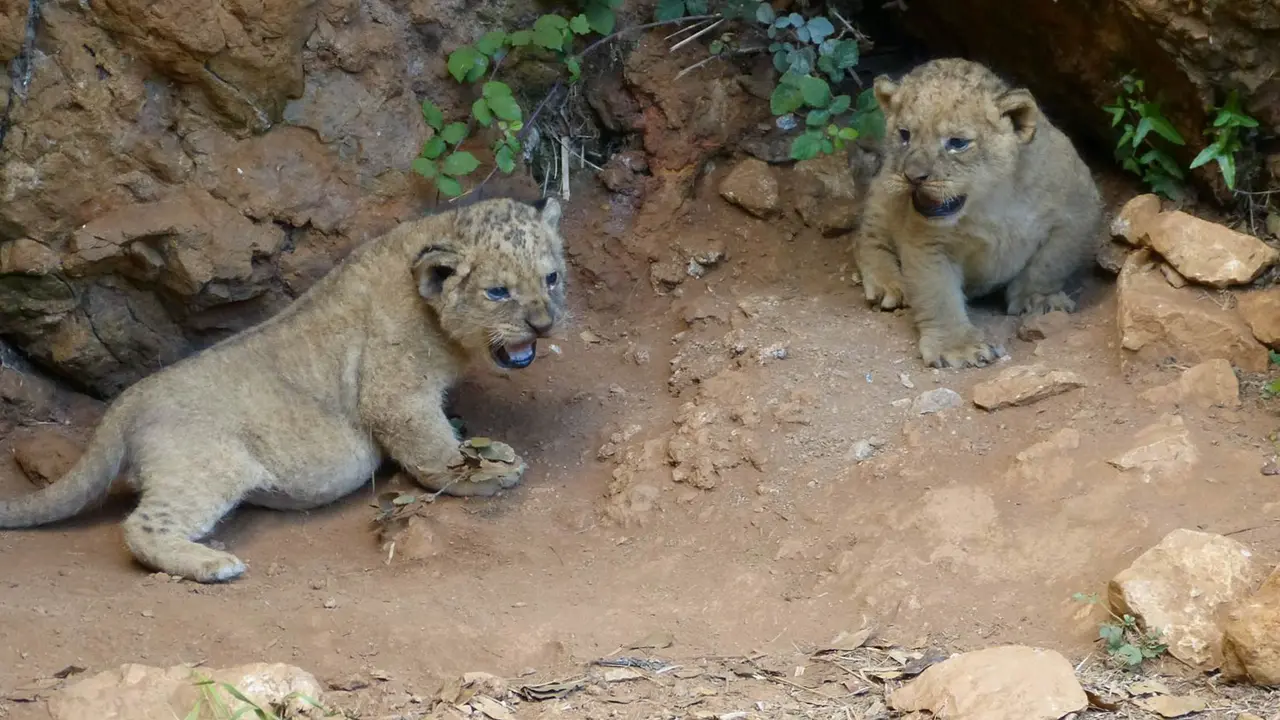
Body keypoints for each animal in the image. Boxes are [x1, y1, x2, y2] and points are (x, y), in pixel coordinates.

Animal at [0, 196, 568, 582]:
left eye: (553, 278)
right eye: (497, 292)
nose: (544, 325)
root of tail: (125, 402)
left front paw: (484, 450)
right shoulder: (395, 395)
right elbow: (433, 453)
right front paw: (483, 474)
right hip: (208, 466)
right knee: (142, 526)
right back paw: (213, 564)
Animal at [853, 58, 1103, 368]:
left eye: (957, 142)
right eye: (904, 135)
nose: (913, 176)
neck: (990, 201)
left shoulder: (1079, 208)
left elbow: (1051, 263)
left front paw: (1039, 300)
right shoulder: (927, 241)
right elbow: (938, 294)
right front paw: (957, 347)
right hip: (883, 191)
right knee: (867, 238)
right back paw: (889, 285)